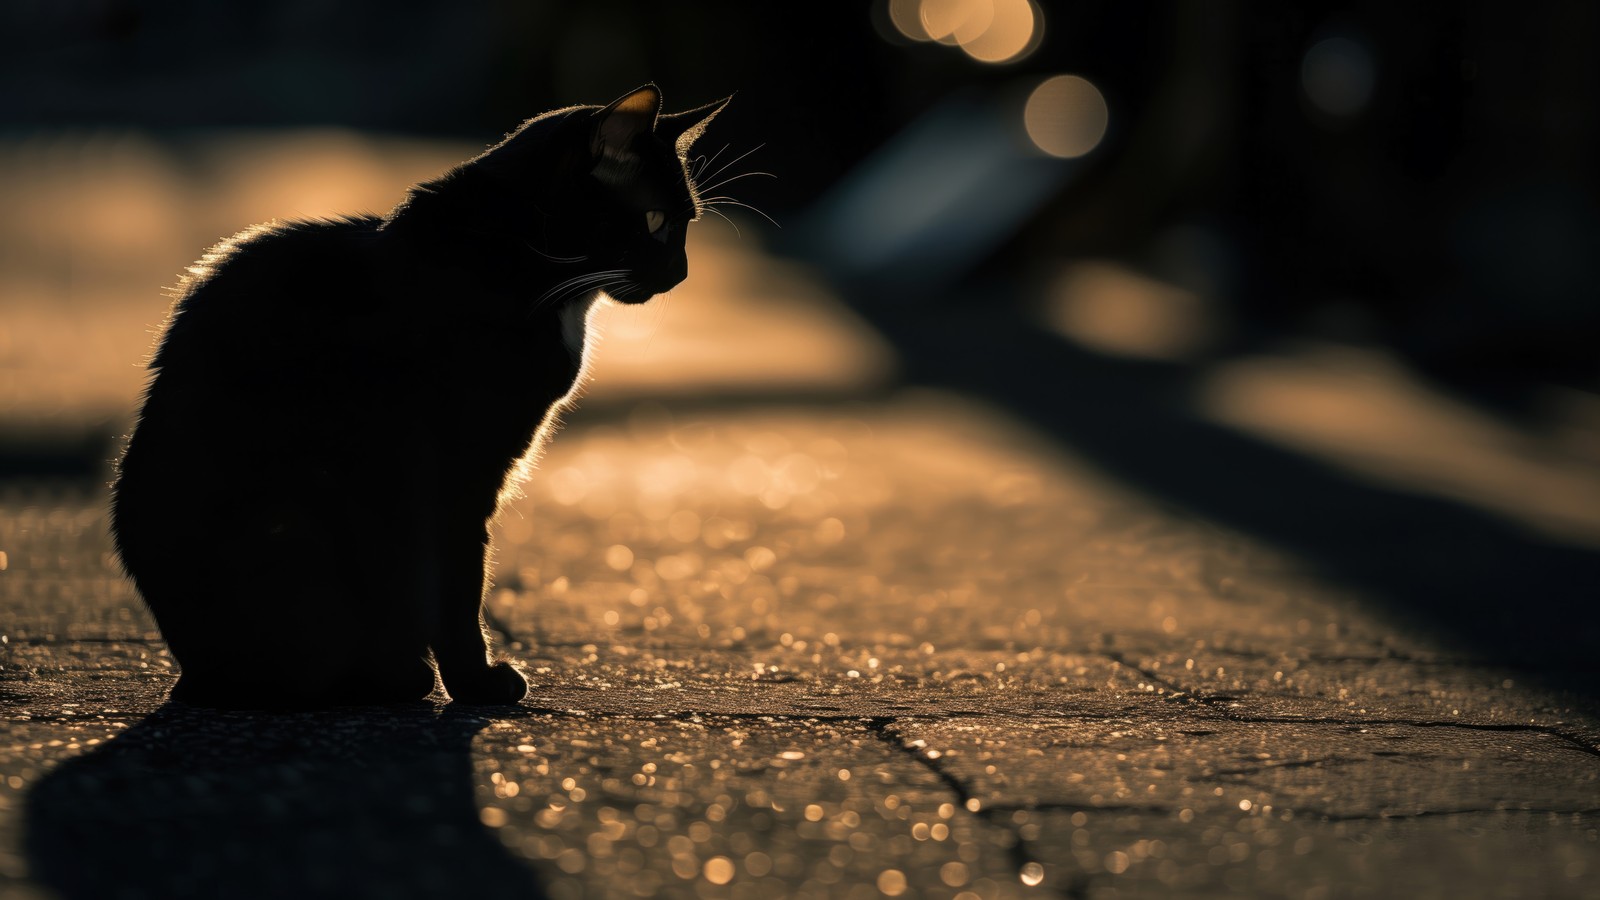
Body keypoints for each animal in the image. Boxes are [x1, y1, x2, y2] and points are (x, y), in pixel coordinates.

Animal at [114, 84, 732, 704]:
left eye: (688, 224)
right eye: (654, 219)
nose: (680, 272)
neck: (523, 259)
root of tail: (192, 674)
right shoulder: (456, 470)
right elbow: (458, 585)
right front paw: (477, 683)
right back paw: (393, 677)